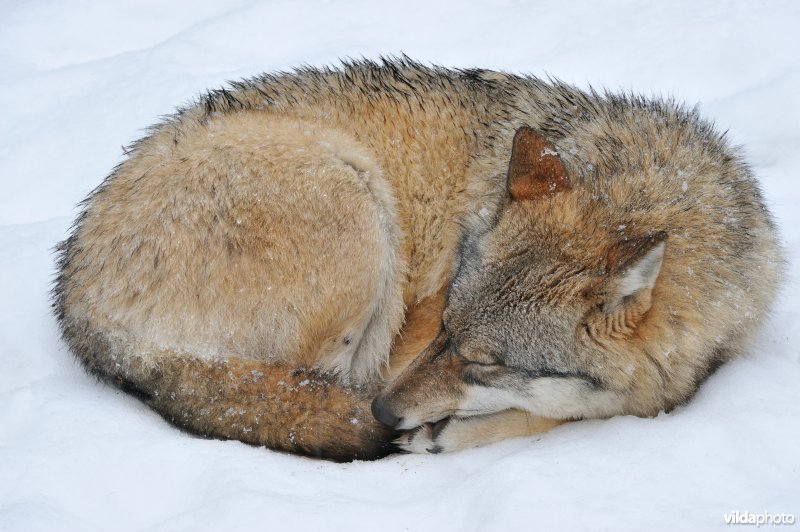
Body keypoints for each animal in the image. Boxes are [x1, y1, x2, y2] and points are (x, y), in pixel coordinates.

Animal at [54, 58, 782, 460]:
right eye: (445, 330)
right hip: (354, 198)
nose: (386, 414)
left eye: (483, 361)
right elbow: (575, 410)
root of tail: (78, 303)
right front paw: (442, 432)